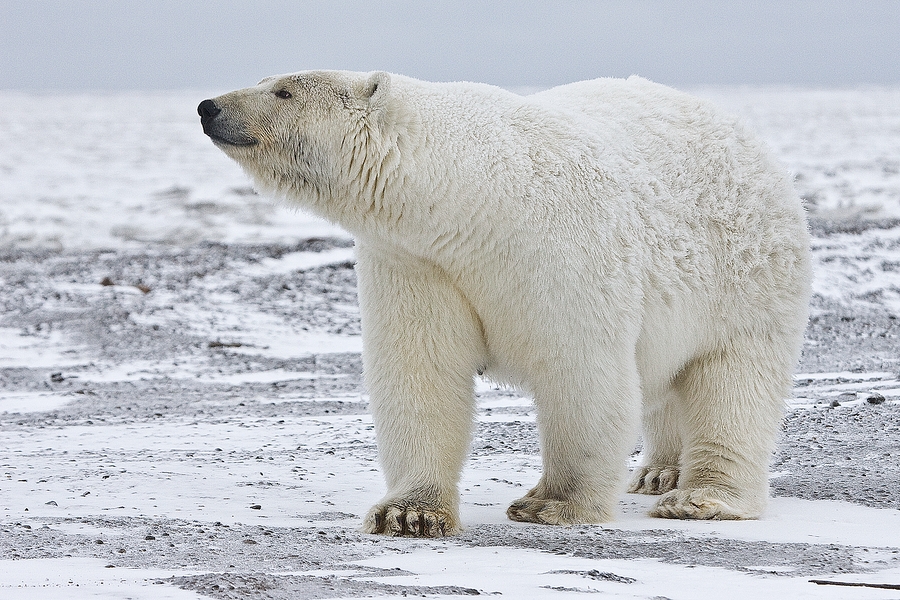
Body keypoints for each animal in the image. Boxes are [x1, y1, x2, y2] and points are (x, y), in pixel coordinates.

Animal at [200, 71, 812, 540]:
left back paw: (699, 497)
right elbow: (420, 371)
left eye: (283, 90)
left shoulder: (558, 245)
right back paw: (658, 473)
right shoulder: (417, 261)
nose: (209, 106)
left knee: (732, 385)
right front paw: (409, 513)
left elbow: (582, 371)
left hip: (745, 278)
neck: (472, 198)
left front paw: (552, 504)